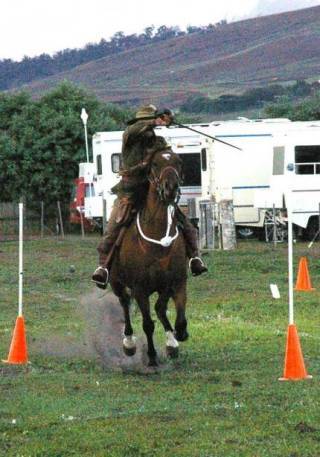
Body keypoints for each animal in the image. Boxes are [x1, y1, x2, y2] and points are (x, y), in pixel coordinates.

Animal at [110, 148, 190, 366]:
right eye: (154, 164)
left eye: (179, 162)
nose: (170, 188)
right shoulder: (140, 289)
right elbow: (147, 324)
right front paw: (152, 356)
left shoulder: (176, 281)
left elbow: (174, 314)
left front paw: (176, 338)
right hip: (116, 283)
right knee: (124, 303)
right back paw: (129, 343)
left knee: (158, 308)